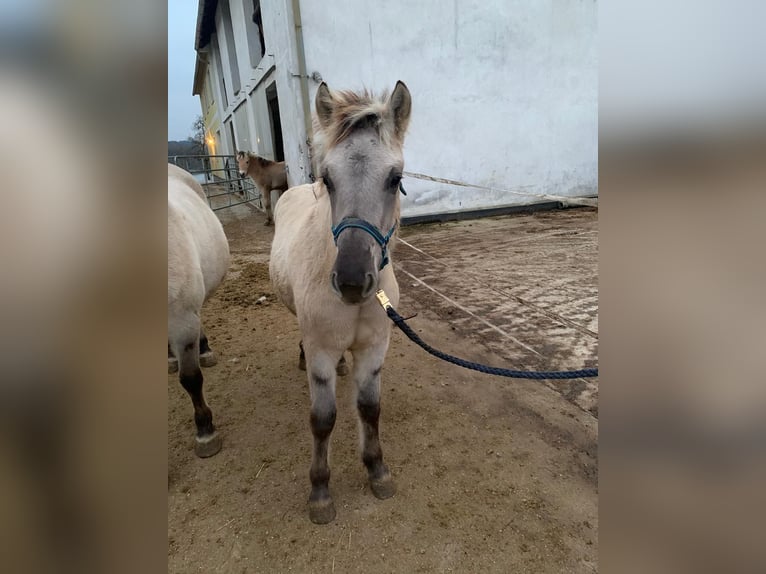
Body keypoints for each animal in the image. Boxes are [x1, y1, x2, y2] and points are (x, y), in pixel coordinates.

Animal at [272, 81, 414, 528]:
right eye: (328, 179)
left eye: (395, 178)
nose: (352, 282)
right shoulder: (321, 348)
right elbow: (323, 419)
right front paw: (319, 491)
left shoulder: (373, 349)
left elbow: (369, 408)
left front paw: (377, 470)